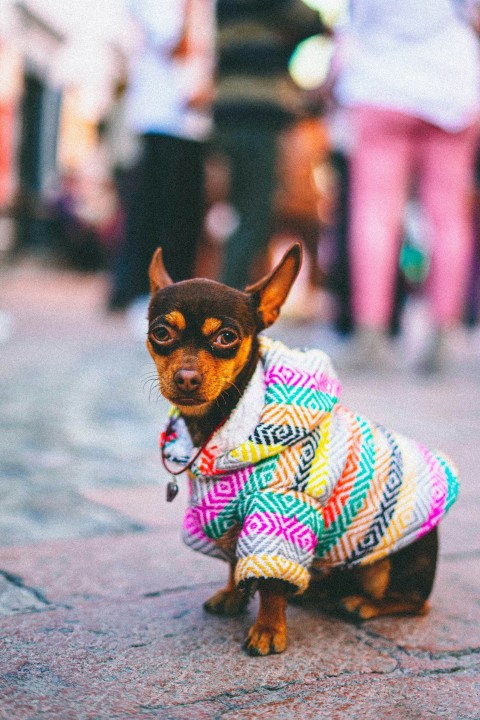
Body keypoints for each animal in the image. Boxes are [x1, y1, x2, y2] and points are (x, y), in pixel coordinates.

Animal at [145, 245, 458, 656]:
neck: (217, 423)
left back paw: (363, 604)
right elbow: (234, 562)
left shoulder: (282, 508)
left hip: (387, 565)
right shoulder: (229, 516)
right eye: (160, 333)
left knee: (415, 602)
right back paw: (317, 591)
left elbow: (271, 584)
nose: (186, 378)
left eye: (227, 337)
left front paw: (268, 628)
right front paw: (233, 594)